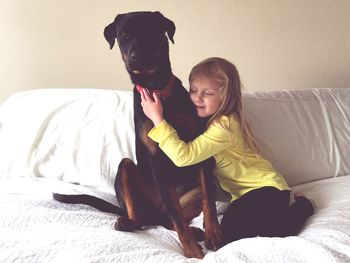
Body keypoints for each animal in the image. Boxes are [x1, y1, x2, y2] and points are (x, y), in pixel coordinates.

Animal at [53, 11, 220, 258]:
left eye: (151, 31)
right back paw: (129, 222)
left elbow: (209, 200)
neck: (156, 88)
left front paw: (213, 234)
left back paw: (195, 231)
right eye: (123, 35)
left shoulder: (199, 151)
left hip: (190, 193)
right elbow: (176, 217)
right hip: (126, 169)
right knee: (149, 216)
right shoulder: (156, 159)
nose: (136, 56)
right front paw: (191, 251)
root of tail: (153, 212)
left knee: (169, 218)